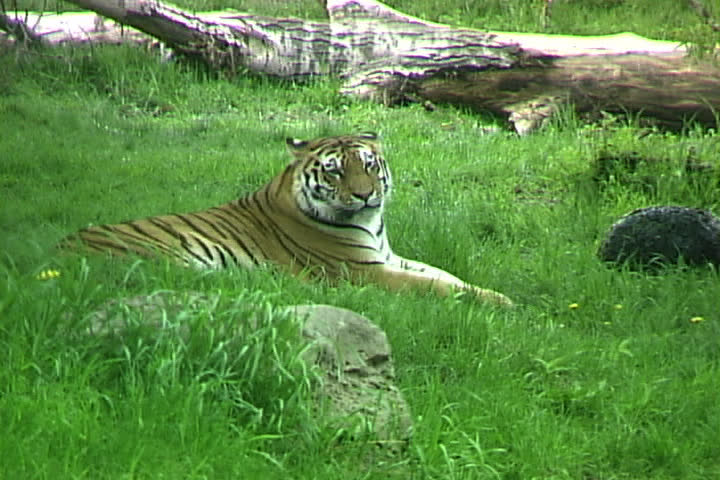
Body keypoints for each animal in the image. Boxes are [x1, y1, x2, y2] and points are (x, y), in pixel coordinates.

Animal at [59, 133, 513, 307]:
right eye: (335, 171)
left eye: (368, 165)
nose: (365, 194)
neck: (372, 222)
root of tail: (53, 255)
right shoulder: (363, 271)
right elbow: (435, 286)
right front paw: (501, 302)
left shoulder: (390, 257)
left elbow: (445, 274)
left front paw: (490, 292)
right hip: (164, 258)